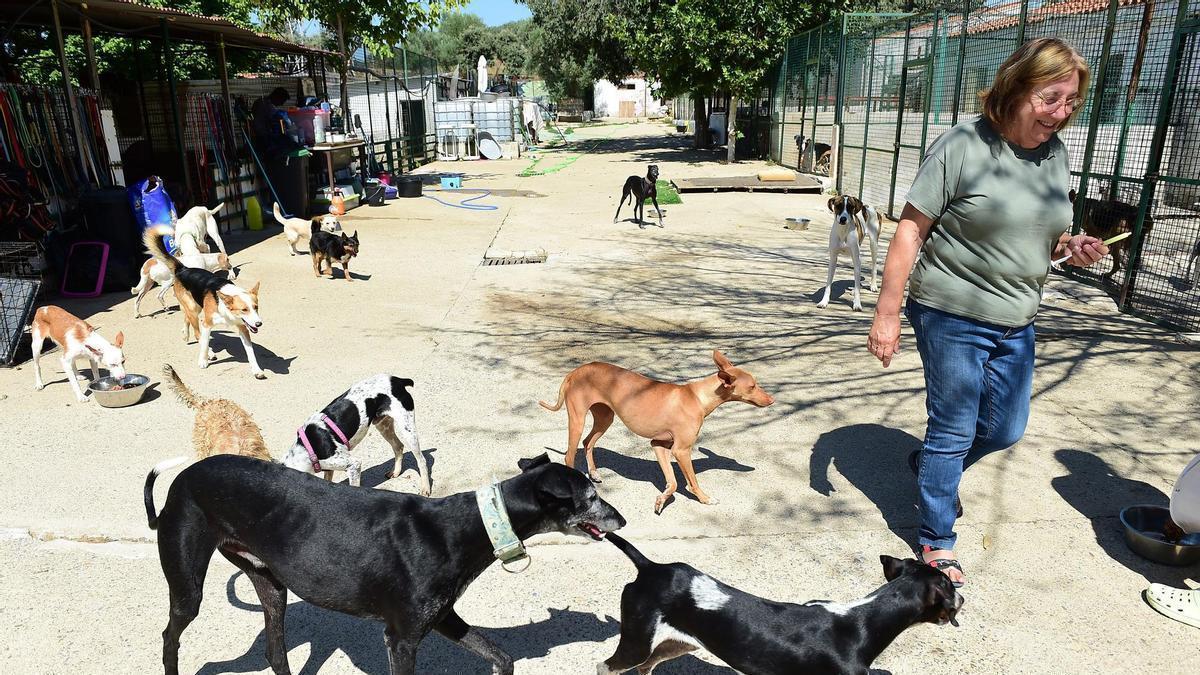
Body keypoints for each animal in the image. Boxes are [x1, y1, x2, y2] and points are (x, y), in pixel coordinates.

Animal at [143, 223, 267, 374]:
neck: (224, 306)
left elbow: (250, 352)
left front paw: (256, 370)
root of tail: (183, 268)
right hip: (193, 309)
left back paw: (185, 334)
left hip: (195, 306)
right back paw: (209, 352)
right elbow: (204, 342)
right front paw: (203, 360)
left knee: (186, 319)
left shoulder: (243, 327)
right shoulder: (207, 324)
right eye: (244, 309)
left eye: (256, 308)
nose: (259, 324)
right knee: (197, 334)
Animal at [146, 449, 628, 672]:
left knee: (274, 651)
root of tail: (182, 478)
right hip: (188, 587)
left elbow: (502, 657)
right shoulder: (401, 638)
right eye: (591, 497)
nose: (622, 518)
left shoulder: (441, 618)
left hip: (271, 585)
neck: (469, 525)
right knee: (170, 635)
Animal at [280, 369, 432, 492]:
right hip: (383, 426)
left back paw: (425, 488)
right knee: (398, 446)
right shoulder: (330, 469)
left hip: (407, 428)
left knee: (421, 460)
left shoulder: (354, 465)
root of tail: (397, 380)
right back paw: (395, 472)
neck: (306, 449)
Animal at [540, 353, 772, 509]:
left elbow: (673, 482)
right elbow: (691, 481)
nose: (772, 400)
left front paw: (662, 500)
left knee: (588, 442)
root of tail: (575, 371)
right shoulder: (681, 450)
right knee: (570, 455)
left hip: (605, 418)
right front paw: (705, 498)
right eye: (752, 386)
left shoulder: (659, 445)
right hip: (577, 420)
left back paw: (594, 473)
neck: (697, 397)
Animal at [600, 535, 964, 672]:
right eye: (948, 587)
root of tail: (651, 567)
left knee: (647, 667)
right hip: (636, 642)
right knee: (607, 667)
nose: (963, 595)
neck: (861, 624)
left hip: (674, 644)